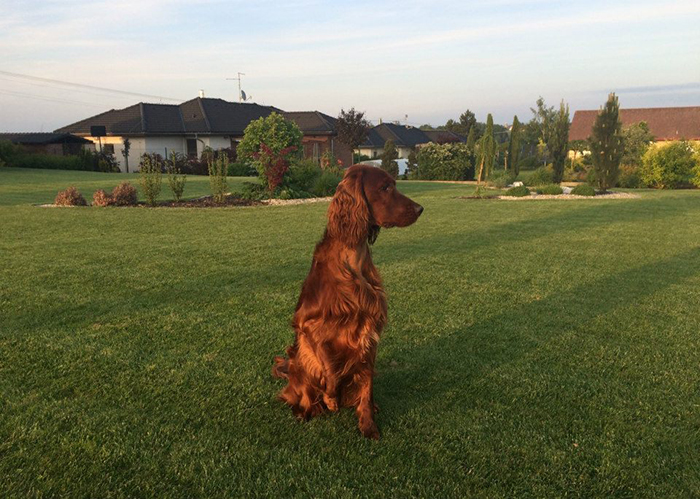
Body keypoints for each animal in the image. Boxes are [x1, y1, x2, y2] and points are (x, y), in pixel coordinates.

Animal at [272, 165, 422, 442]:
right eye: (385, 187)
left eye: (394, 184)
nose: (420, 209)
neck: (352, 261)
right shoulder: (309, 326)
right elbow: (330, 368)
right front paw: (331, 398)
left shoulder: (370, 331)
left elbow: (366, 385)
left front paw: (368, 424)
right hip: (299, 362)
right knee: (301, 394)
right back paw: (307, 410)